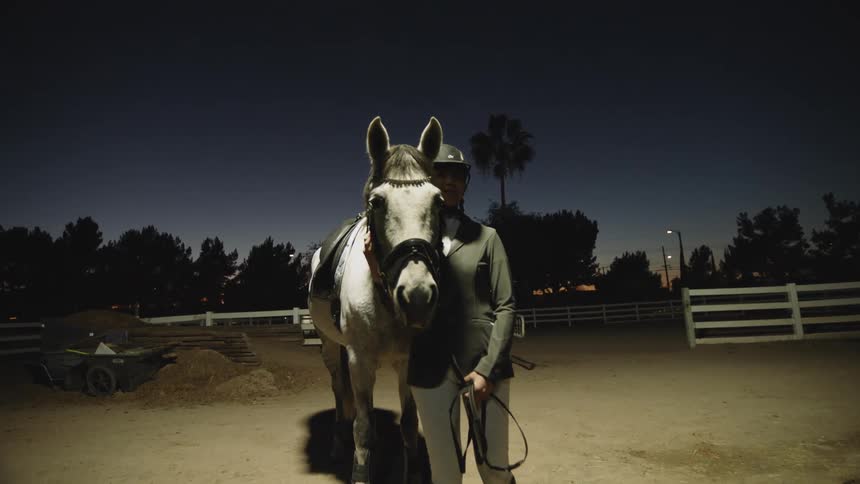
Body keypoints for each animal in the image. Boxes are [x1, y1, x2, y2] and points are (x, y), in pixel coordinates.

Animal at [308, 116, 444, 484]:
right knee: (339, 390)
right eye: (377, 202)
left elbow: (409, 423)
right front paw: (360, 468)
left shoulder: (409, 361)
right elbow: (363, 427)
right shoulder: (359, 359)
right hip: (330, 345)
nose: (417, 296)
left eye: (438, 201)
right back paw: (338, 443)